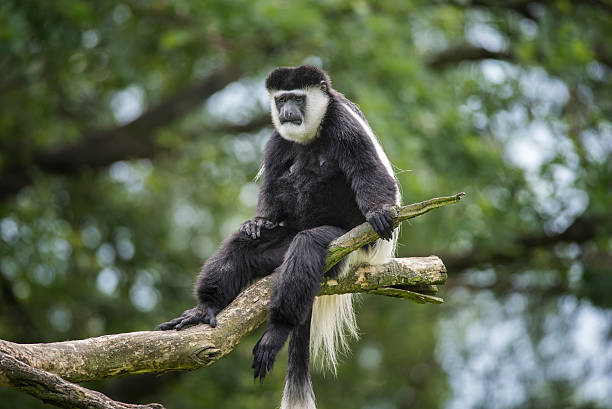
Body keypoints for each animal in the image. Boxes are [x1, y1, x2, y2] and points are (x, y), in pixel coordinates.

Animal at [161, 66, 402, 408]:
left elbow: (367, 170)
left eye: (297, 98)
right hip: (281, 247)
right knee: (241, 247)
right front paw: (258, 221)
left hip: (345, 248)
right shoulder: (277, 138)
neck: (312, 133)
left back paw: (277, 330)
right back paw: (205, 308)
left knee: (307, 246)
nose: (287, 112)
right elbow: (272, 181)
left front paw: (380, 212)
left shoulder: (343, 123)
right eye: (281, 99)